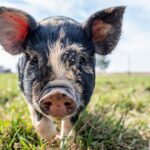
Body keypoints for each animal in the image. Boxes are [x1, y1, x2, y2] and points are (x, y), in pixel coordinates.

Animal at [0, 6, 125, 142]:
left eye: (82, 59)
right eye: (34, 59)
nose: (57, 93)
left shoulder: (83, 100)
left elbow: (70, 123)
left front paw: (64, 140)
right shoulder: (28, 91)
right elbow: (39, 119)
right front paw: (52, 138)